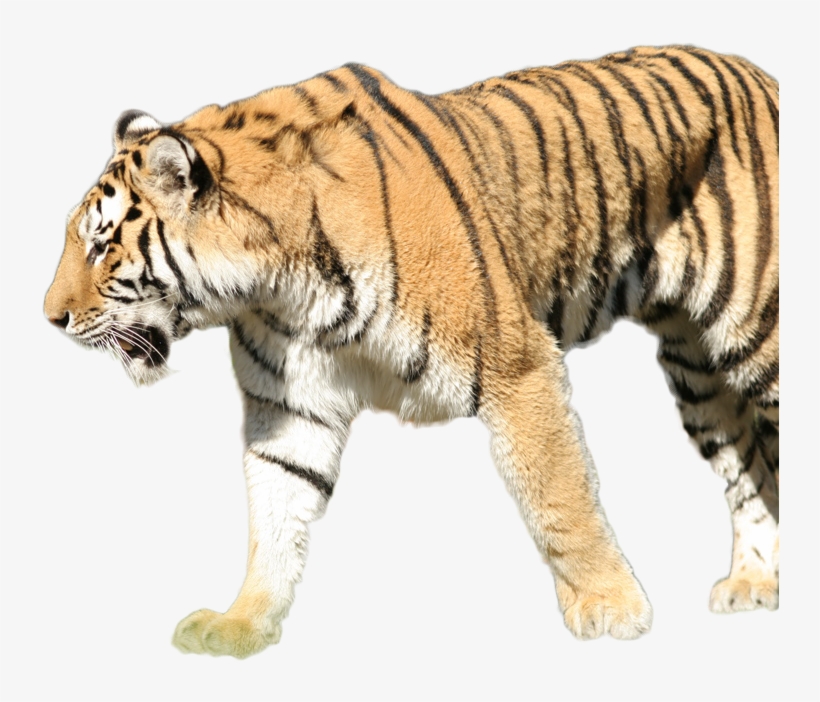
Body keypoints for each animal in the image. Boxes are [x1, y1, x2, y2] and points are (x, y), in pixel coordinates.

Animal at [44, 45, 779, 658]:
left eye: (102, 245)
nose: (50, 318)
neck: (279, 287)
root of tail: (761, 73)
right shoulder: (289, 409)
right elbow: (272, 517)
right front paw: (240, 623)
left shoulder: (519, 367)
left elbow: (559, 497)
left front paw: (612, 607)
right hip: (698, 370)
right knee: (748, 466)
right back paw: (754, 584)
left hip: (761, 334)